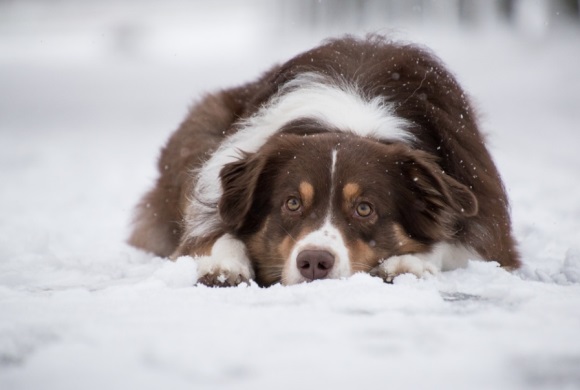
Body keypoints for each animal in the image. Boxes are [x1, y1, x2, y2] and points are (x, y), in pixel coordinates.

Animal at [129, 35, 520, 284]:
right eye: (291, 203)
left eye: (364, 208)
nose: (314, 262)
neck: (350, 120)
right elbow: (215, 234)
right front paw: (223, 264)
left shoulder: (488, 224)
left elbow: (453, 242)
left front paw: (408, 262)